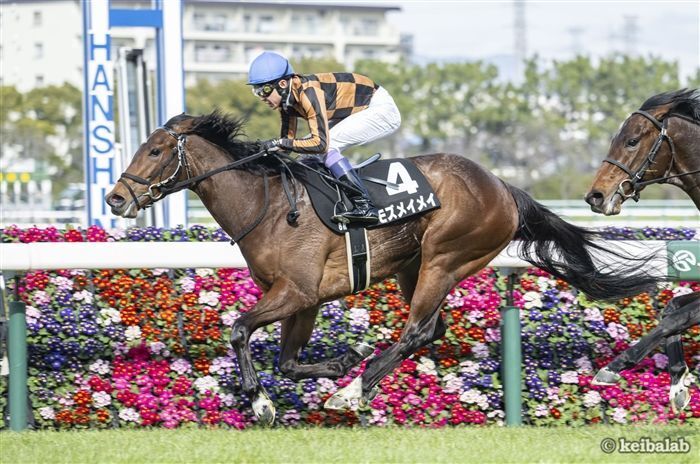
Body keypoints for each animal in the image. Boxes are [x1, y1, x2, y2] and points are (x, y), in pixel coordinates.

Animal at [106, 111, 660, 424]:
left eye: (156, 150)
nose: (115, 198)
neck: (268, 205)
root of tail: (504, 186)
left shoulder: (296, 291)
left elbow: (239, 329)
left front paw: (261, 402)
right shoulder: (302, 299)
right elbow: (286, 360)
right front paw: (339, 362)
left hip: (444, 257)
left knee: (417, 330)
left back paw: (352, 393)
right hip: (414, 268)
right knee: (431, 329)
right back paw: (357, 378)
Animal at [584, 89, 700, 416]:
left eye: (632, 141)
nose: (595, 196)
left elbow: (677, 317)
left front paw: (611, 367)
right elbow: (672, 308)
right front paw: (678, 382)